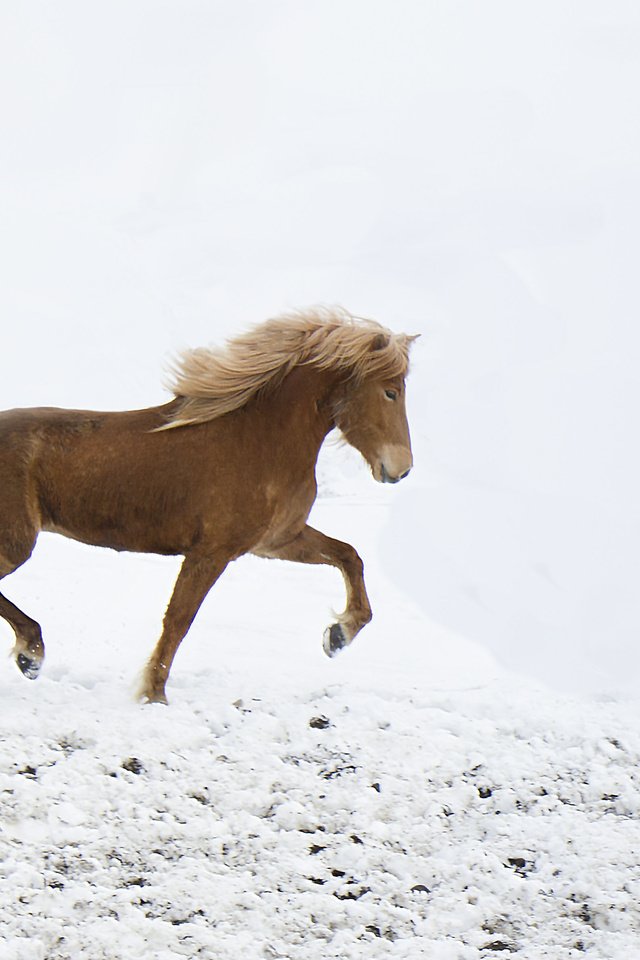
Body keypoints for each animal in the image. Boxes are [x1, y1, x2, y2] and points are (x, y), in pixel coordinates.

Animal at [0, 310, 418, 704]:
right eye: (390, 392)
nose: (400, 469)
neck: (261, 439)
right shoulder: (211, 552)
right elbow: (179, 620)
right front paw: (154, 694)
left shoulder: (276, 541)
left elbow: (349, 555)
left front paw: (338, 636)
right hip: (15, 545)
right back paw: (31, 653)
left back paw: (29, 655)